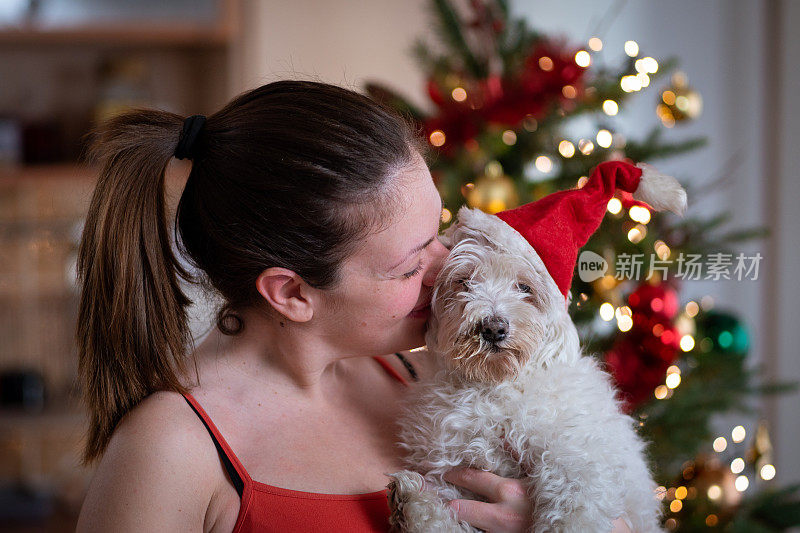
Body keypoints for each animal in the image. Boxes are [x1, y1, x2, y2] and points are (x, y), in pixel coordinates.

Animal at [386, 160, 680, 528]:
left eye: (525, 288)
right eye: (464, 282)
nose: (493, 328)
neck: (492, 388)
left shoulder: (577, 463)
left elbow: (575, 511)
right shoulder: (454, 473)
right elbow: (446, 517)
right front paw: (415, 506)